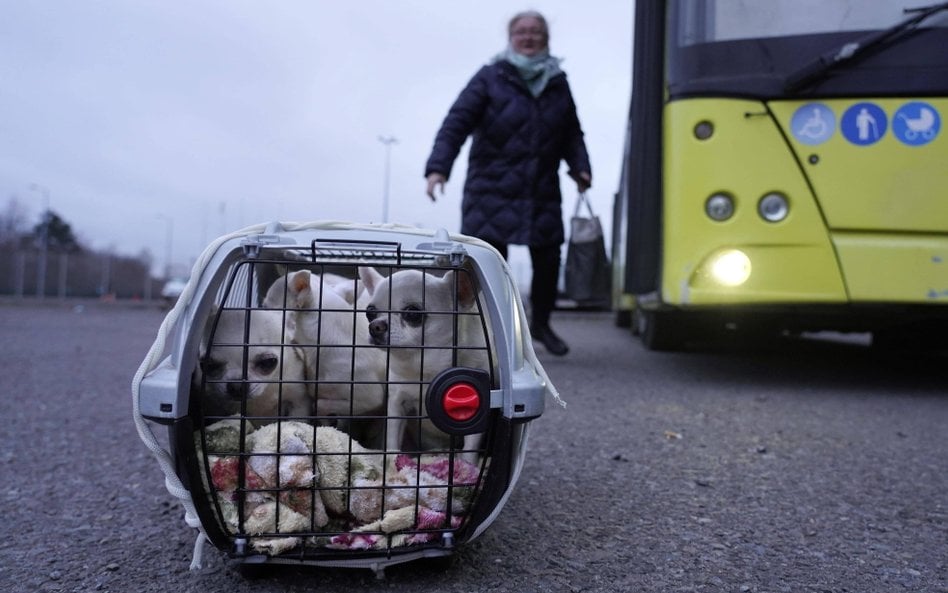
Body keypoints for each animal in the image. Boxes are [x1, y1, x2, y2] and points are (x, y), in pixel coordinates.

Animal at [358, 266, 488, 456]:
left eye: (412, 313)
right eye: (370, 313)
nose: (375, 326)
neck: (425, 367)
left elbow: (470, 449)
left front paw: (467, 463)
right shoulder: (397, 404)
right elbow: (392, 441)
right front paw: (392, 461)